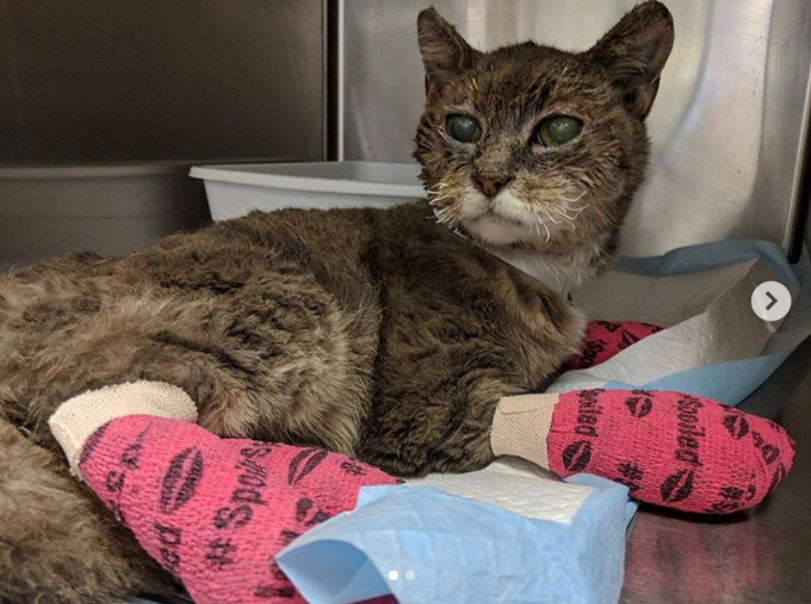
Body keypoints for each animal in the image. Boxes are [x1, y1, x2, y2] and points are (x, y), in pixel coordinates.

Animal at [0, 2, 672, 600]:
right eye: (463, 126)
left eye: (558, 129)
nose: (490, 176)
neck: (529, 267)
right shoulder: (429, 410)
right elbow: (536, 402)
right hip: (286, 307)